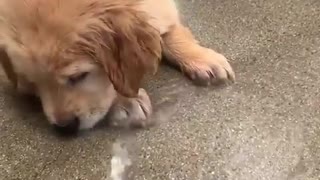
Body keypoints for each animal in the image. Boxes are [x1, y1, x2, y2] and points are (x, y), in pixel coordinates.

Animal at [0, 0, 234, 134]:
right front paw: (126, 100)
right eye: (33, 84)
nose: (65, 127)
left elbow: (167, 30)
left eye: (79, 76)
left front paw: (201, 57)